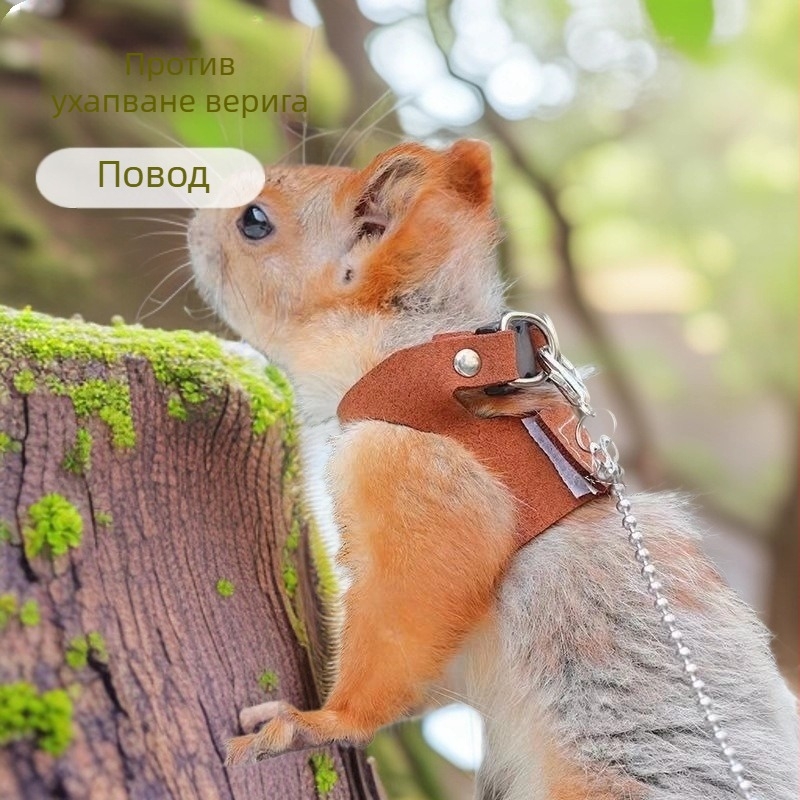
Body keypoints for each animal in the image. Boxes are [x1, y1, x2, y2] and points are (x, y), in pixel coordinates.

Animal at [188, 139, 798, 800]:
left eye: (255, 221)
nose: (192, 220)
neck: (413, 368)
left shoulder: (421, 482)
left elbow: (404, 621)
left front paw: (322, 722)